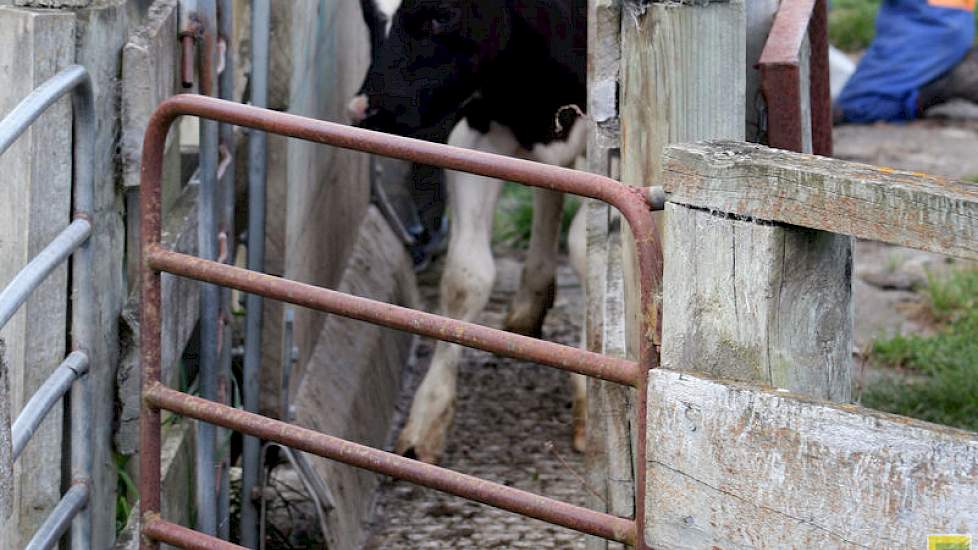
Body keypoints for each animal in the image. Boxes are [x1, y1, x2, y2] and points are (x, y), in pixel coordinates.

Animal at [346, 0, 584, 466]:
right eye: (367, 11)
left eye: (443, 15)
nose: (368, 112)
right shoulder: (478, 129)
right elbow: (466, 278)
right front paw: (426, 419)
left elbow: (595, 253)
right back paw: (530, 301)